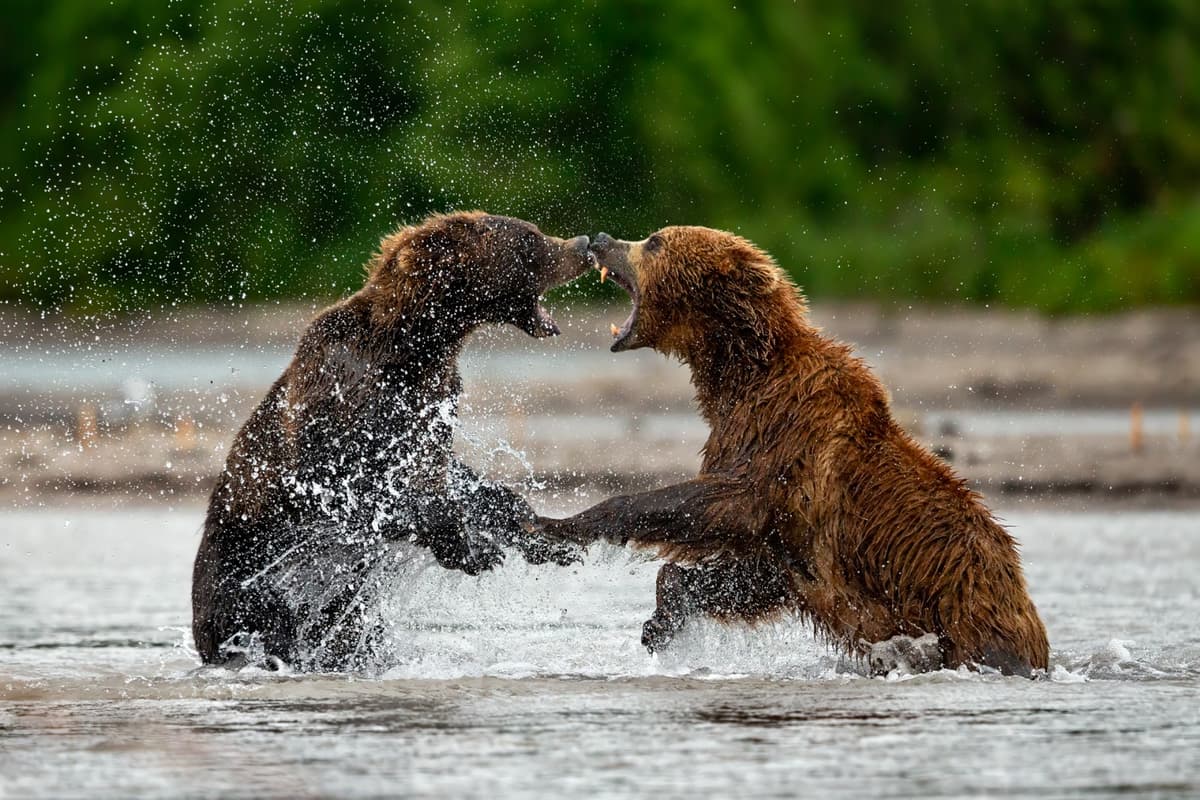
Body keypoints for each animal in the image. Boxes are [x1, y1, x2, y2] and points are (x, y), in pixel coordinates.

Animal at [192, 211, 592, 671]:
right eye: (530, 239)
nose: (584, 244)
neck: (416, 344)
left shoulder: (432, 404)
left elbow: (451, 476)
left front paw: (544, 536)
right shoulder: (344, 399)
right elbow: (362, 489)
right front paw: (471, 548)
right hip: (251, 595)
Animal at [537, 226, 1050, 676]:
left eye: (654, 241)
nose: (602, 239)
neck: (742, 372)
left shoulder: (786, 444)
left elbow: (720, 505)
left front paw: (550, 524)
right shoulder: (786, 517)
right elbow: (759, 575)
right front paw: (662, 616)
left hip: (969, 615)